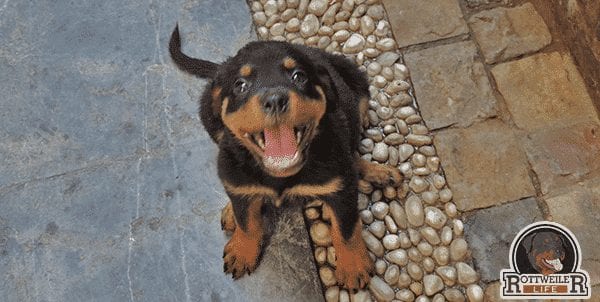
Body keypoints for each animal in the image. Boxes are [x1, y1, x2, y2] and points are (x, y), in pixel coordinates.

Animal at [169, 26, 400, 290]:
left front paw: (352, 266)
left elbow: (346, 228)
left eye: (299, 76)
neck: (280, 174)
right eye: (240, 85)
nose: (275, 100)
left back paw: (379, 172)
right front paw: (242, 250)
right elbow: (246, 221)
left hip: (355, 78)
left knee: (353, 146)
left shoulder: (341, 187)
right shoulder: (233, 172)